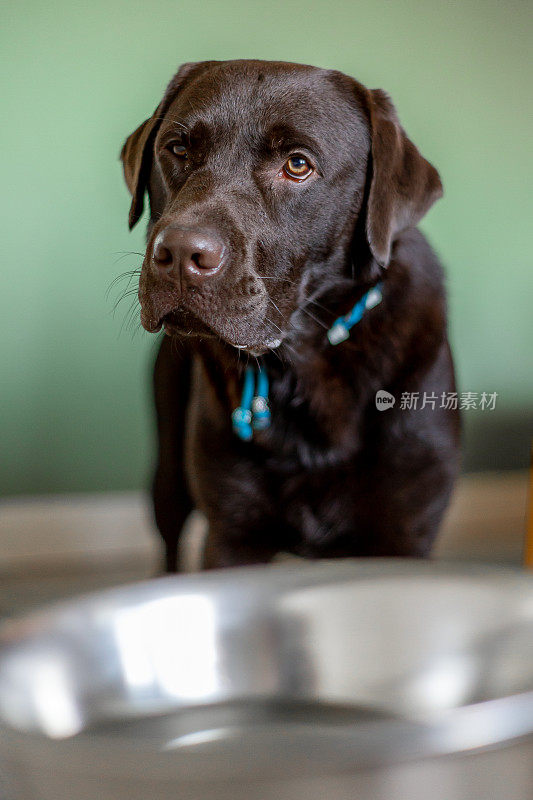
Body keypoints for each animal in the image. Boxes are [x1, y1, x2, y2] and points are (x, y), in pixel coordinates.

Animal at [119, 59, 458, 572]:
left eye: (297, 165)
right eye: (177, 149)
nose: (178, 254)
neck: (300, 366)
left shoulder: (406, 534)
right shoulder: (232, 532)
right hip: (169, 470)